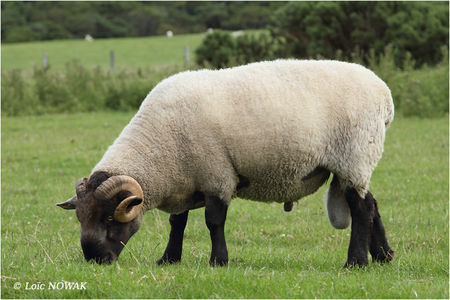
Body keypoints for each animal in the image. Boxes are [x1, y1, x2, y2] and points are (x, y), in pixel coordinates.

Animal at [56, 59, 394, 268]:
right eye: (80, 219)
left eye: (109, 219)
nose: (95, 259)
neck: (159, 146)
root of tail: (384, 95)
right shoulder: (185, 180)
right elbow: (177, 223)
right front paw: (169, 259)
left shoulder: (216, 175)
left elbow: (213, 221)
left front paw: (218, 260)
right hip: (357, 164)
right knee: (372, 204)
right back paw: (383, 256)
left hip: (354, 157)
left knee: (361, 209)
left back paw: (356, 262)